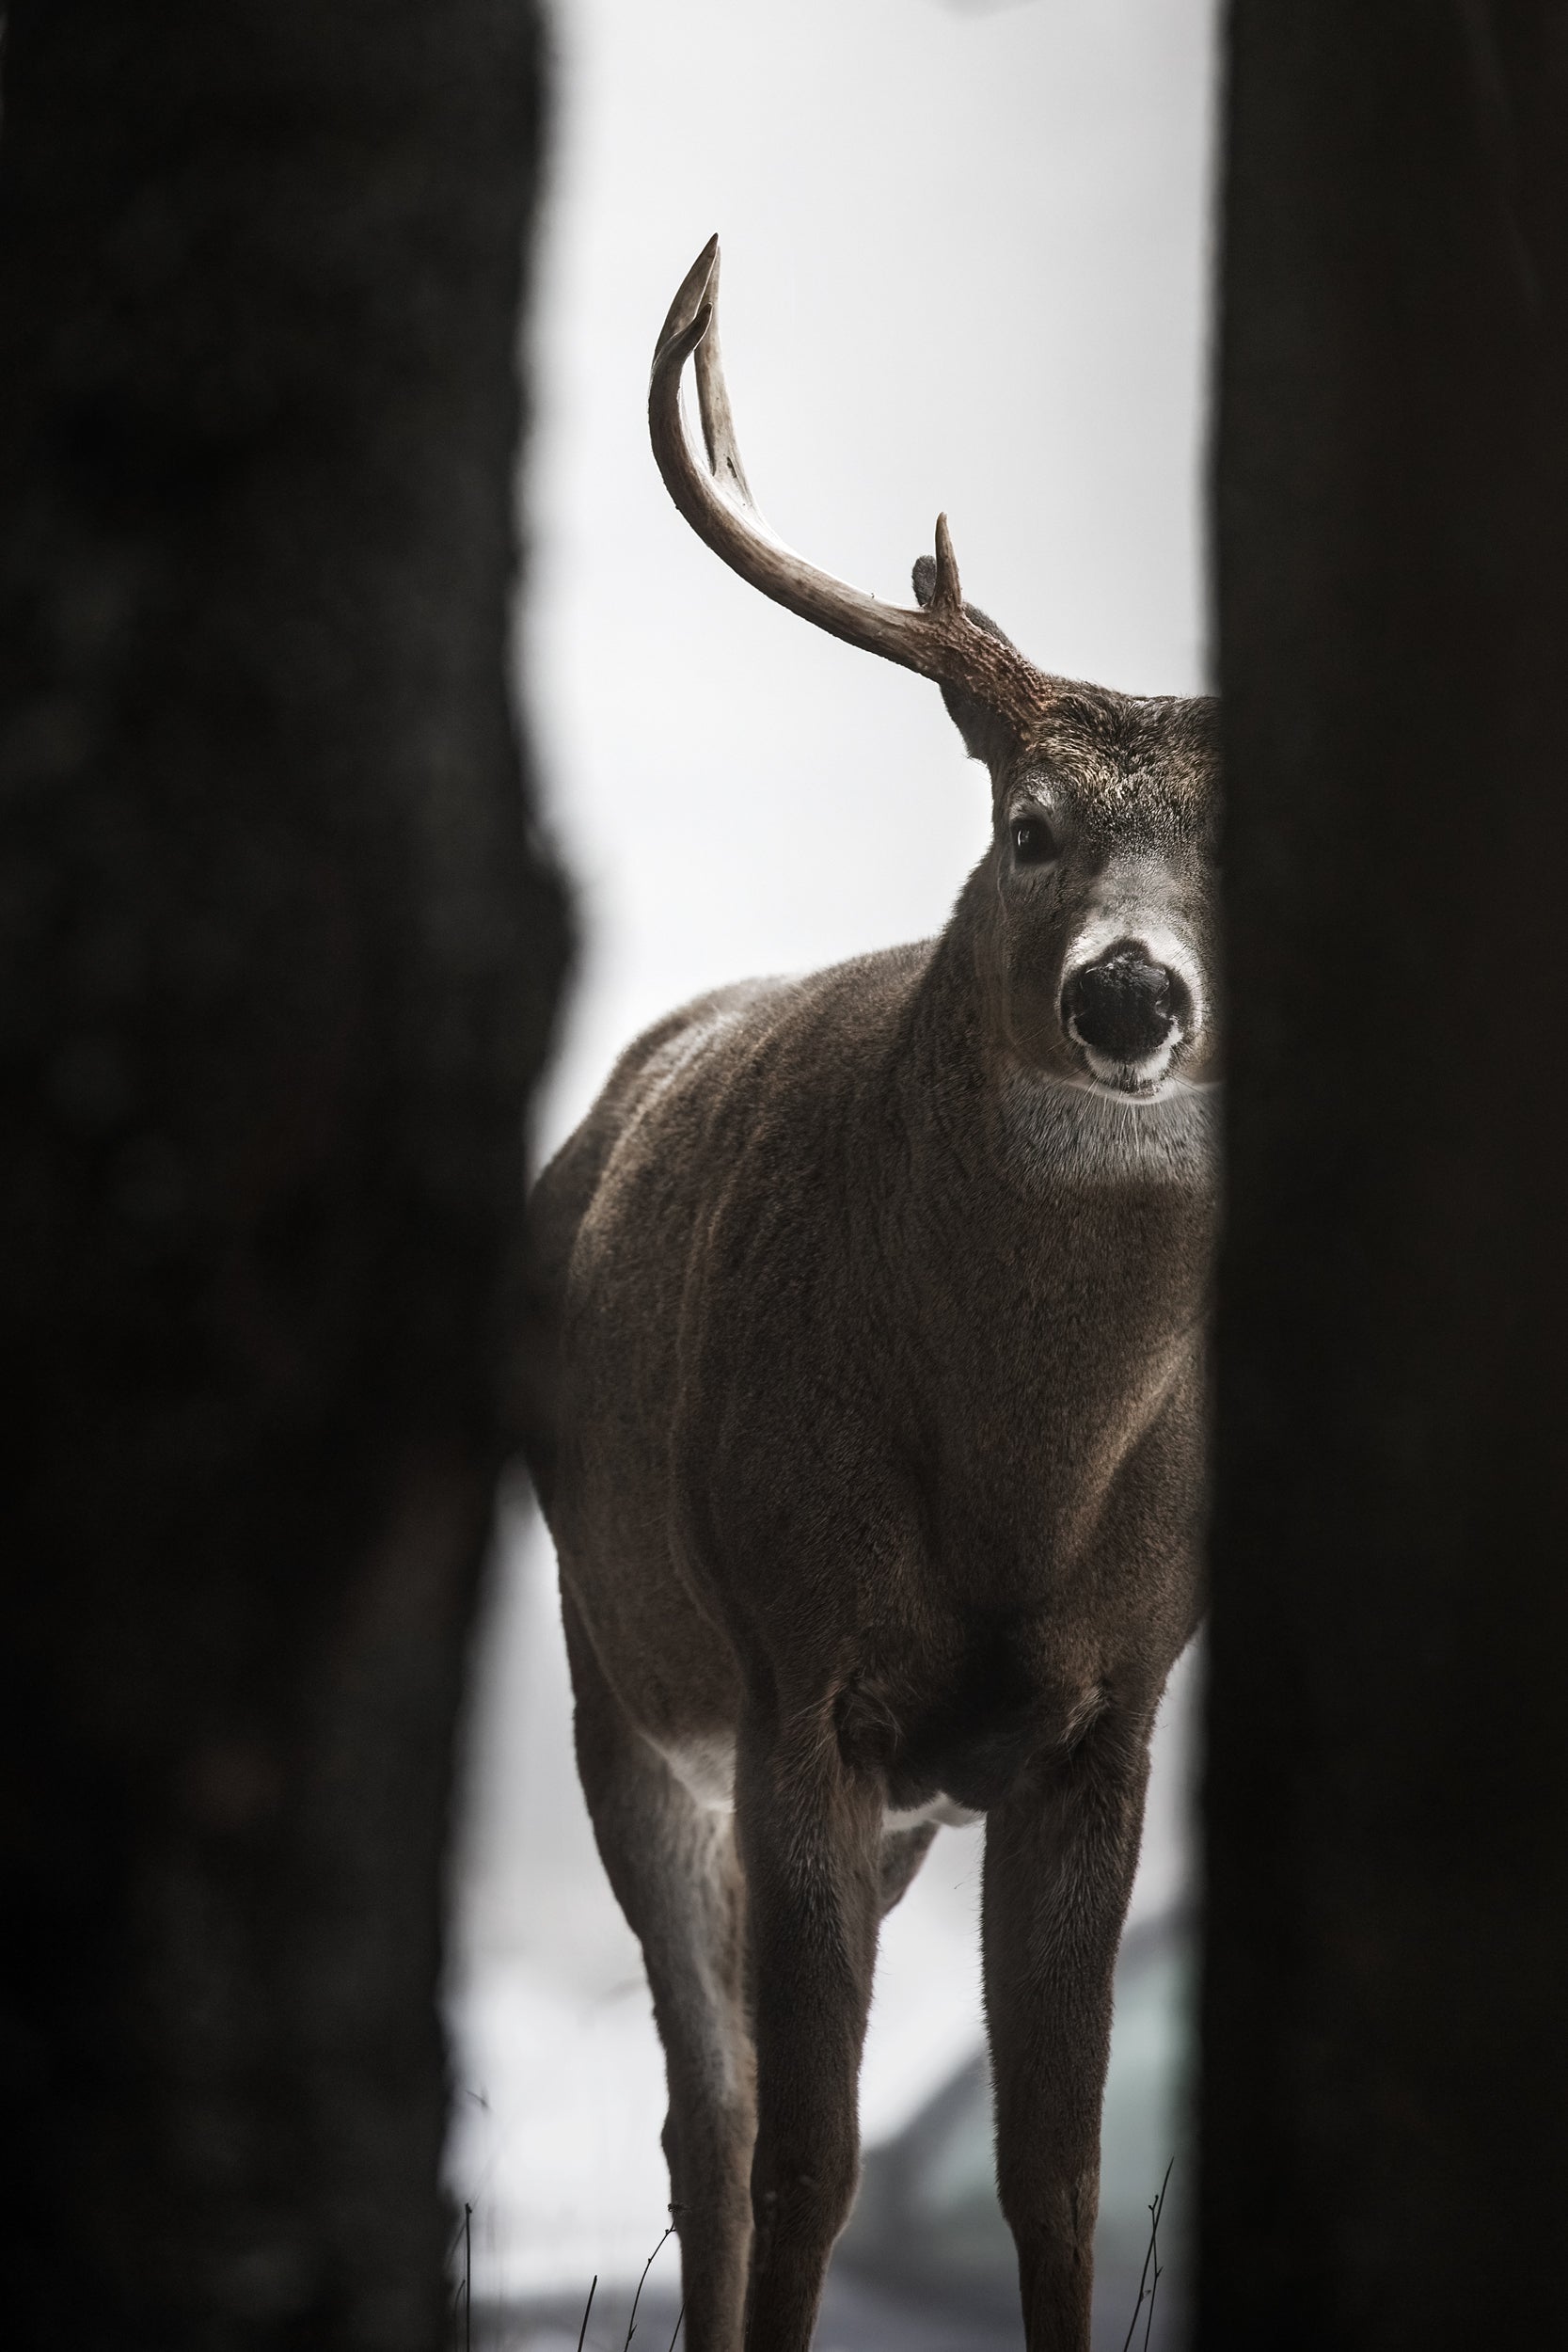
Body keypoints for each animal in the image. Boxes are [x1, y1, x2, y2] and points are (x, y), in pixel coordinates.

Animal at [526, 237, 1220, 2352]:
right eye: (1026, 826)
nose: (1127, 994)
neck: (1014, 1481)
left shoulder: (1105, 1711)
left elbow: (1057, 2173)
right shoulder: (795, 1669)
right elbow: (813, 2158)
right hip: (623, 1675)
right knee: (719, 2111)